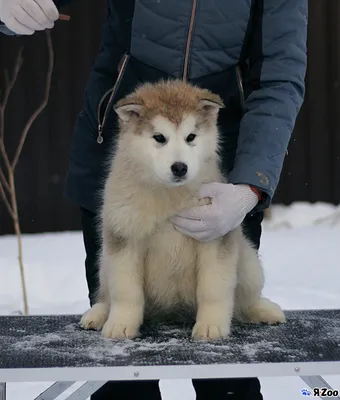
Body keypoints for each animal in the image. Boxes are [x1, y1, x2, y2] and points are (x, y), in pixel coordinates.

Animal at [79, 80, 284, 340]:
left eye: (191, 137)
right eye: (159, 137)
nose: (179, 167)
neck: (169, 197)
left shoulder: (214, 239)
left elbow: (213, 289)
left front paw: (210, 326)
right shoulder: (124, 236)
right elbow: (126, 292)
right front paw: (120, 324)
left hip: (248, 263)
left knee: (245, 301)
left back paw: (264, 310)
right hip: (104, 262)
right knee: (107, 295)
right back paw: (97, 314)